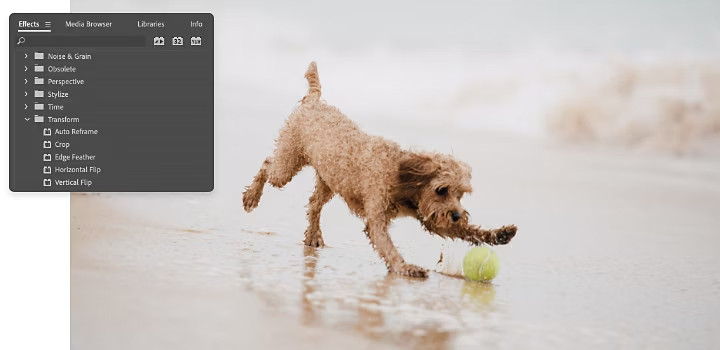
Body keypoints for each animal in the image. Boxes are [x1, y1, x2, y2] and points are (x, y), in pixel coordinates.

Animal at [242, 61, 516, 278]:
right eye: (442, 190)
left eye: (461, 194)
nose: (458, 214)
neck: (402, 176)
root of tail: (314, 100)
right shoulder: (377, 217)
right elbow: (388, 247)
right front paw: (405, 267)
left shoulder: (430, 216)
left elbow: (466, 232)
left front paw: (499, 234)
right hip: (287, 166)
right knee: (267, 166)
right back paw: (251, 196)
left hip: (330, 180)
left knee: (314, 204)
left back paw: (313, 234)